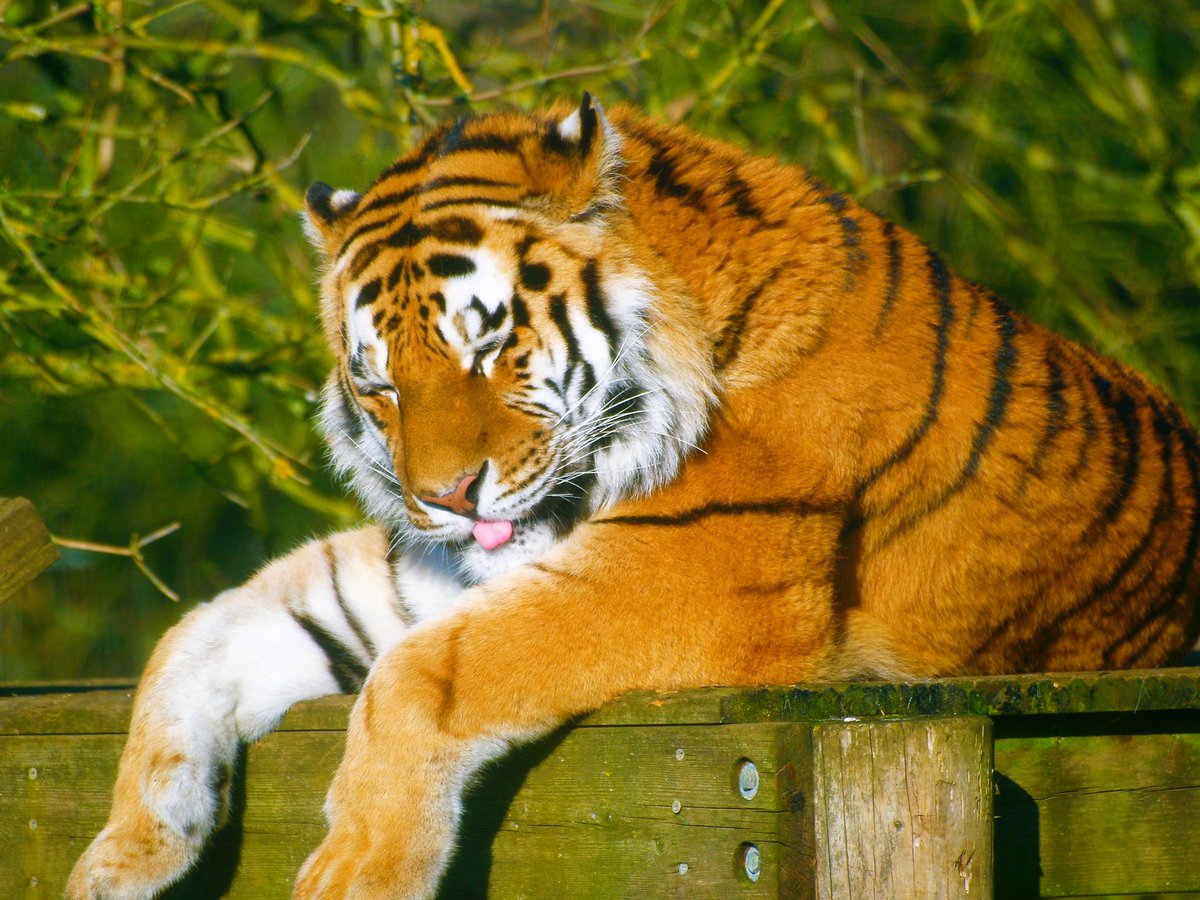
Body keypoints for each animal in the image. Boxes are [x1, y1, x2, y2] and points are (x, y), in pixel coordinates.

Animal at [68, 94, 1200, 899]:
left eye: (486, 345)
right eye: (380, 383)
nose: (444, 496)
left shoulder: (687, 575)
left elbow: (419, 677)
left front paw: (357, 874)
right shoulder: (429, 573)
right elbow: (196, 638)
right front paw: (117, 858)